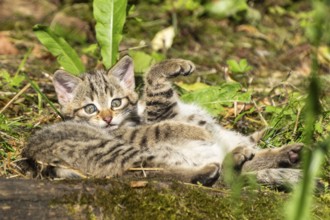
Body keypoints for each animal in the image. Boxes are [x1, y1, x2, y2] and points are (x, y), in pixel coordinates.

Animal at [22, 56, 302, 186]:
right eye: (90, 108)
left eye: (116, 102)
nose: (108, 118)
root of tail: (36, 159)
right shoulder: (151, 121)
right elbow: (158, 103)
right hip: (113, 149)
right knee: (158, 173)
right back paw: (217, 165)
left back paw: (284, 154)